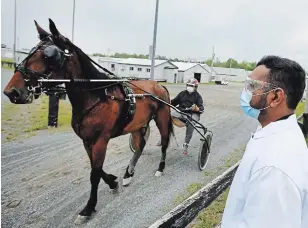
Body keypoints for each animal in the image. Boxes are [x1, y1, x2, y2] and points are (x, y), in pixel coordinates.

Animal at [3, 18, 174, 224]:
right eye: (30, 51)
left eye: (48, 55)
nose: (12, 91)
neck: (96, 96)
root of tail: (159, 85)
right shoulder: (87, 140)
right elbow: (96, 168)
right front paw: (113, 182)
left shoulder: (101, 140)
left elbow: (94, 173)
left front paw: (88, 208)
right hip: (137, 124)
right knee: (140, 145)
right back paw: (128, 173)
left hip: (162, 118)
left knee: (164, 142)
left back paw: (160, 168)